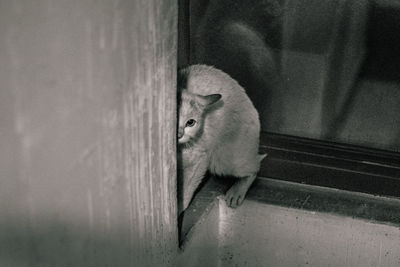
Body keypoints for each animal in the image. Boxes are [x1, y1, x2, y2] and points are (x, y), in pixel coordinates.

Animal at [177, 64, 266, 214]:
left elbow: (187, 188)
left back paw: (237, 192)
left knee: (255, 167)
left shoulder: (200, 158)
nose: (179, 134)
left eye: (190, 122)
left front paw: (178, 209)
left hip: (223, 160)